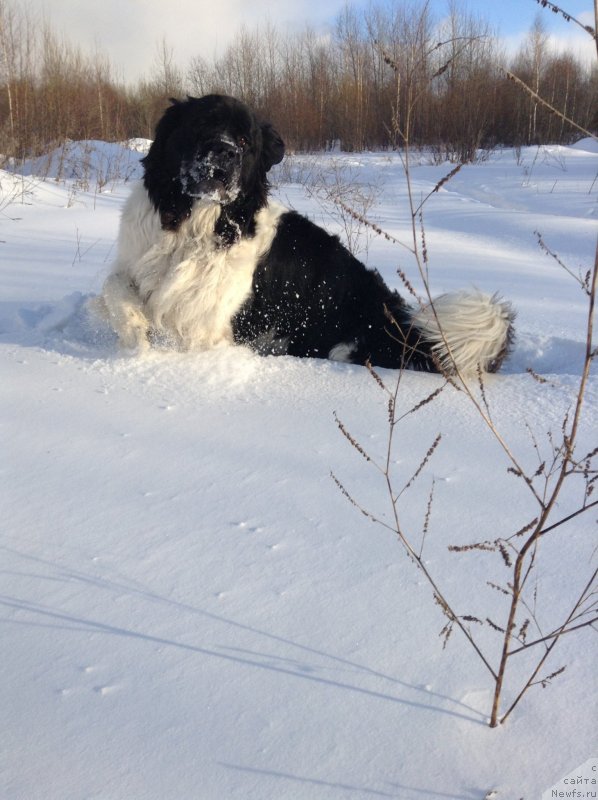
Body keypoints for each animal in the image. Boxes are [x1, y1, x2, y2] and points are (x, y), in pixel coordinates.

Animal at [95, 94, 516, 376]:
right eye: (200, 126)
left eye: (245, 142)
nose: (224, 152)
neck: (196, 223)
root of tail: (407, 327)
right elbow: (115, 289)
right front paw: (135, 335)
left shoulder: (206, 327)